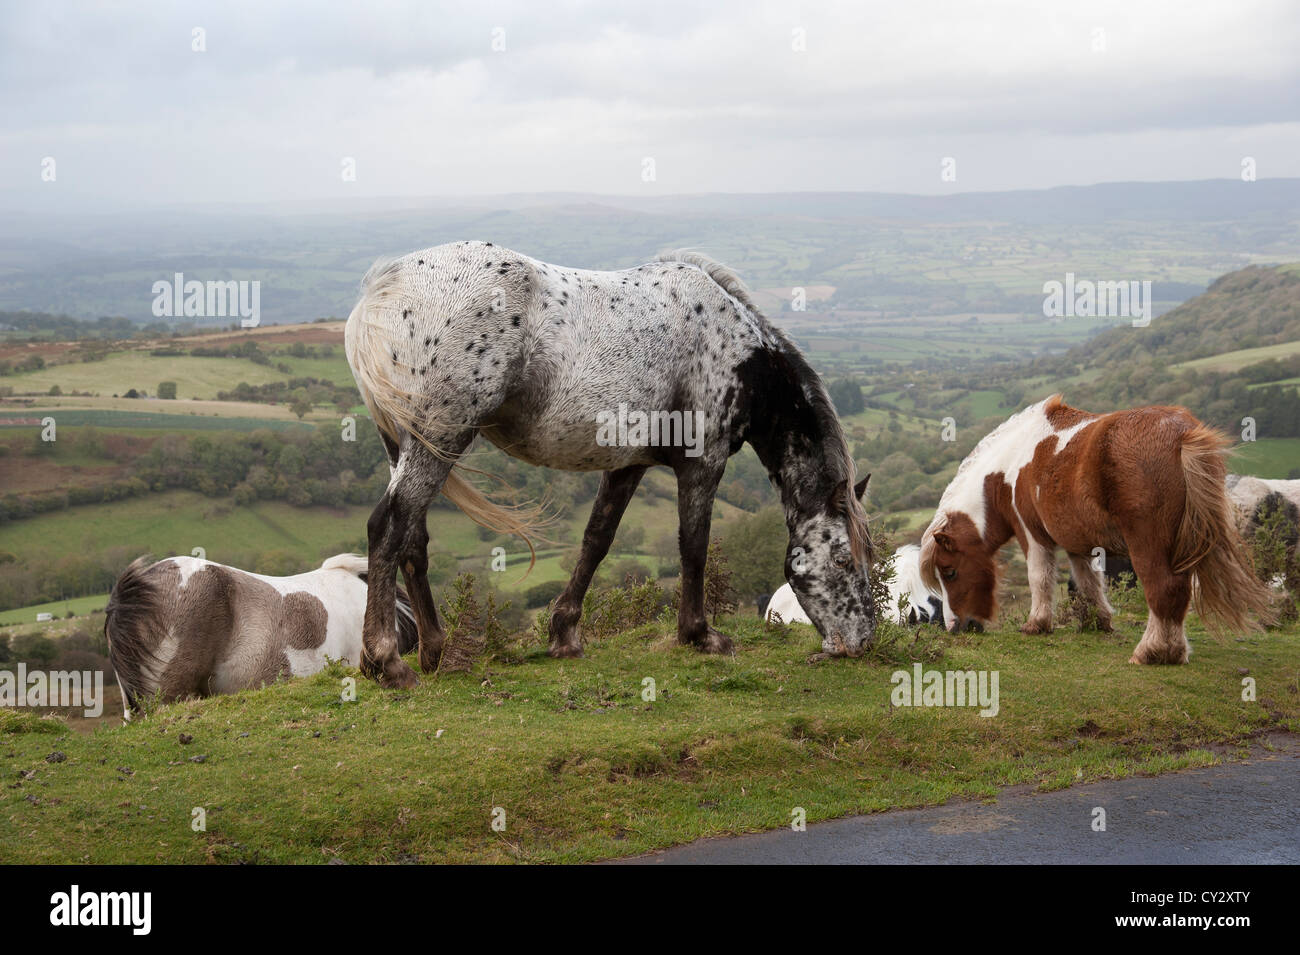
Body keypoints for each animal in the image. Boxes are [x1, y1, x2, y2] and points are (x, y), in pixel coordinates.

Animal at [345, 242, 878, 686]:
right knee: (388, 527)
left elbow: (597, 541)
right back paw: (386, 662)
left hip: (407, 446)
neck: (736, 352)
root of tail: (384, 286)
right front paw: (700, 635)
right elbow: (694, 546)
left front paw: (564, 634)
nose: (863, 642)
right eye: (844, 558)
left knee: (412, 537)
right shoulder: (702, 464)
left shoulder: (628, 465)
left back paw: (436, 652)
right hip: (441, 437)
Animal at [920, 394, 1274, 665]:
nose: (956, 626)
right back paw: (1173, 650)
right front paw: (1098, 621)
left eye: (949, 572)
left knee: (1164, 589)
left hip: (1148, 545)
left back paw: (1153, 652)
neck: (1010, 467)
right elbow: (1088, 582)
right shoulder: (1078, 543)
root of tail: (1181, 435)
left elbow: (1040, 578)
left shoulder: (1032, 536)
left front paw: (1037, 624)